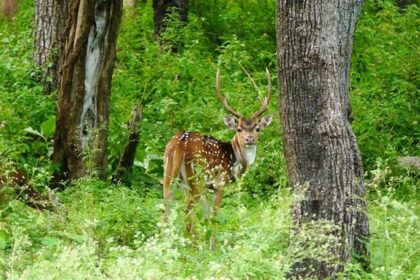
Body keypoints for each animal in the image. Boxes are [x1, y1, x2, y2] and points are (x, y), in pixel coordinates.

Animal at [161, 68, 272, 230]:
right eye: (239, 129)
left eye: (257, 128)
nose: (250, 139)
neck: (234, 160)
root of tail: (179, 144)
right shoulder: (219, 184)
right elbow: (213, 217)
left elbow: (206, 217)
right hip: (196, 177)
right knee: (188, 212)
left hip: (168, 174)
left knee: (166, 209)